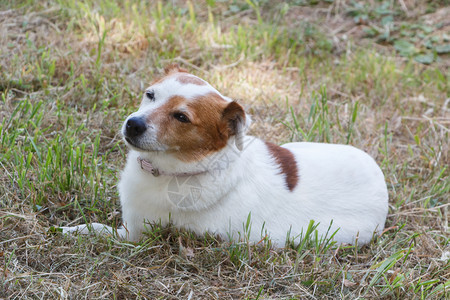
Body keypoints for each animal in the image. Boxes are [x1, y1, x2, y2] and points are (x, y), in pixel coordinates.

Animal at [61, 64, 388, 245]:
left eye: (182, 117)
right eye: (150, 95)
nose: (133, 123)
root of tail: (383, 190)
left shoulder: (133, 234)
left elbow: (96, 229)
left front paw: (71, 230)